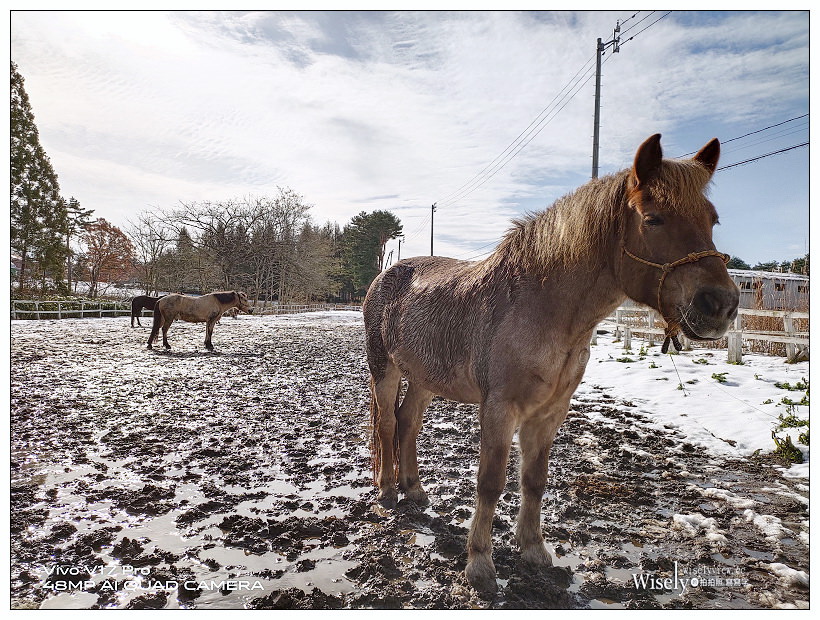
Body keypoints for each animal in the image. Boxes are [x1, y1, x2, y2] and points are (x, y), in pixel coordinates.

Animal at [363, 134, 739, 593]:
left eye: (712, 219)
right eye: (653, 219)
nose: (721, 305)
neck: (541, 307)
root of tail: (385, 276)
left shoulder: (550, 412)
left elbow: (534, 480)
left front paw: (534, 549)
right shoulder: (500, 408)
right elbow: (490, 482)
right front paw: (480, 562)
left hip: (423, 378)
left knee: (408, 422)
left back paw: (414, 489)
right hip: (385, 369)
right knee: (386, 423)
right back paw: (387, 490)